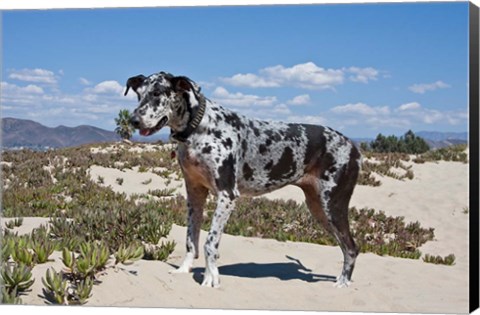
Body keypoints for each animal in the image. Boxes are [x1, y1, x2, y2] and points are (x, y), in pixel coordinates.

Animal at [125, 71, 362, 288]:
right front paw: (184, 270)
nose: (133, 120)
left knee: (351, 247)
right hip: (318, 208)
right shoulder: (195, 195)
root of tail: (353, 146)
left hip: (332, 205)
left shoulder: (227, 195)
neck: (199, 129)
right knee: (345, 246)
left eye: (157, 93)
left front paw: (211, 277)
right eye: (139, 94)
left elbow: (210, 243)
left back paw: (343, 283)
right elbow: (191, 240)